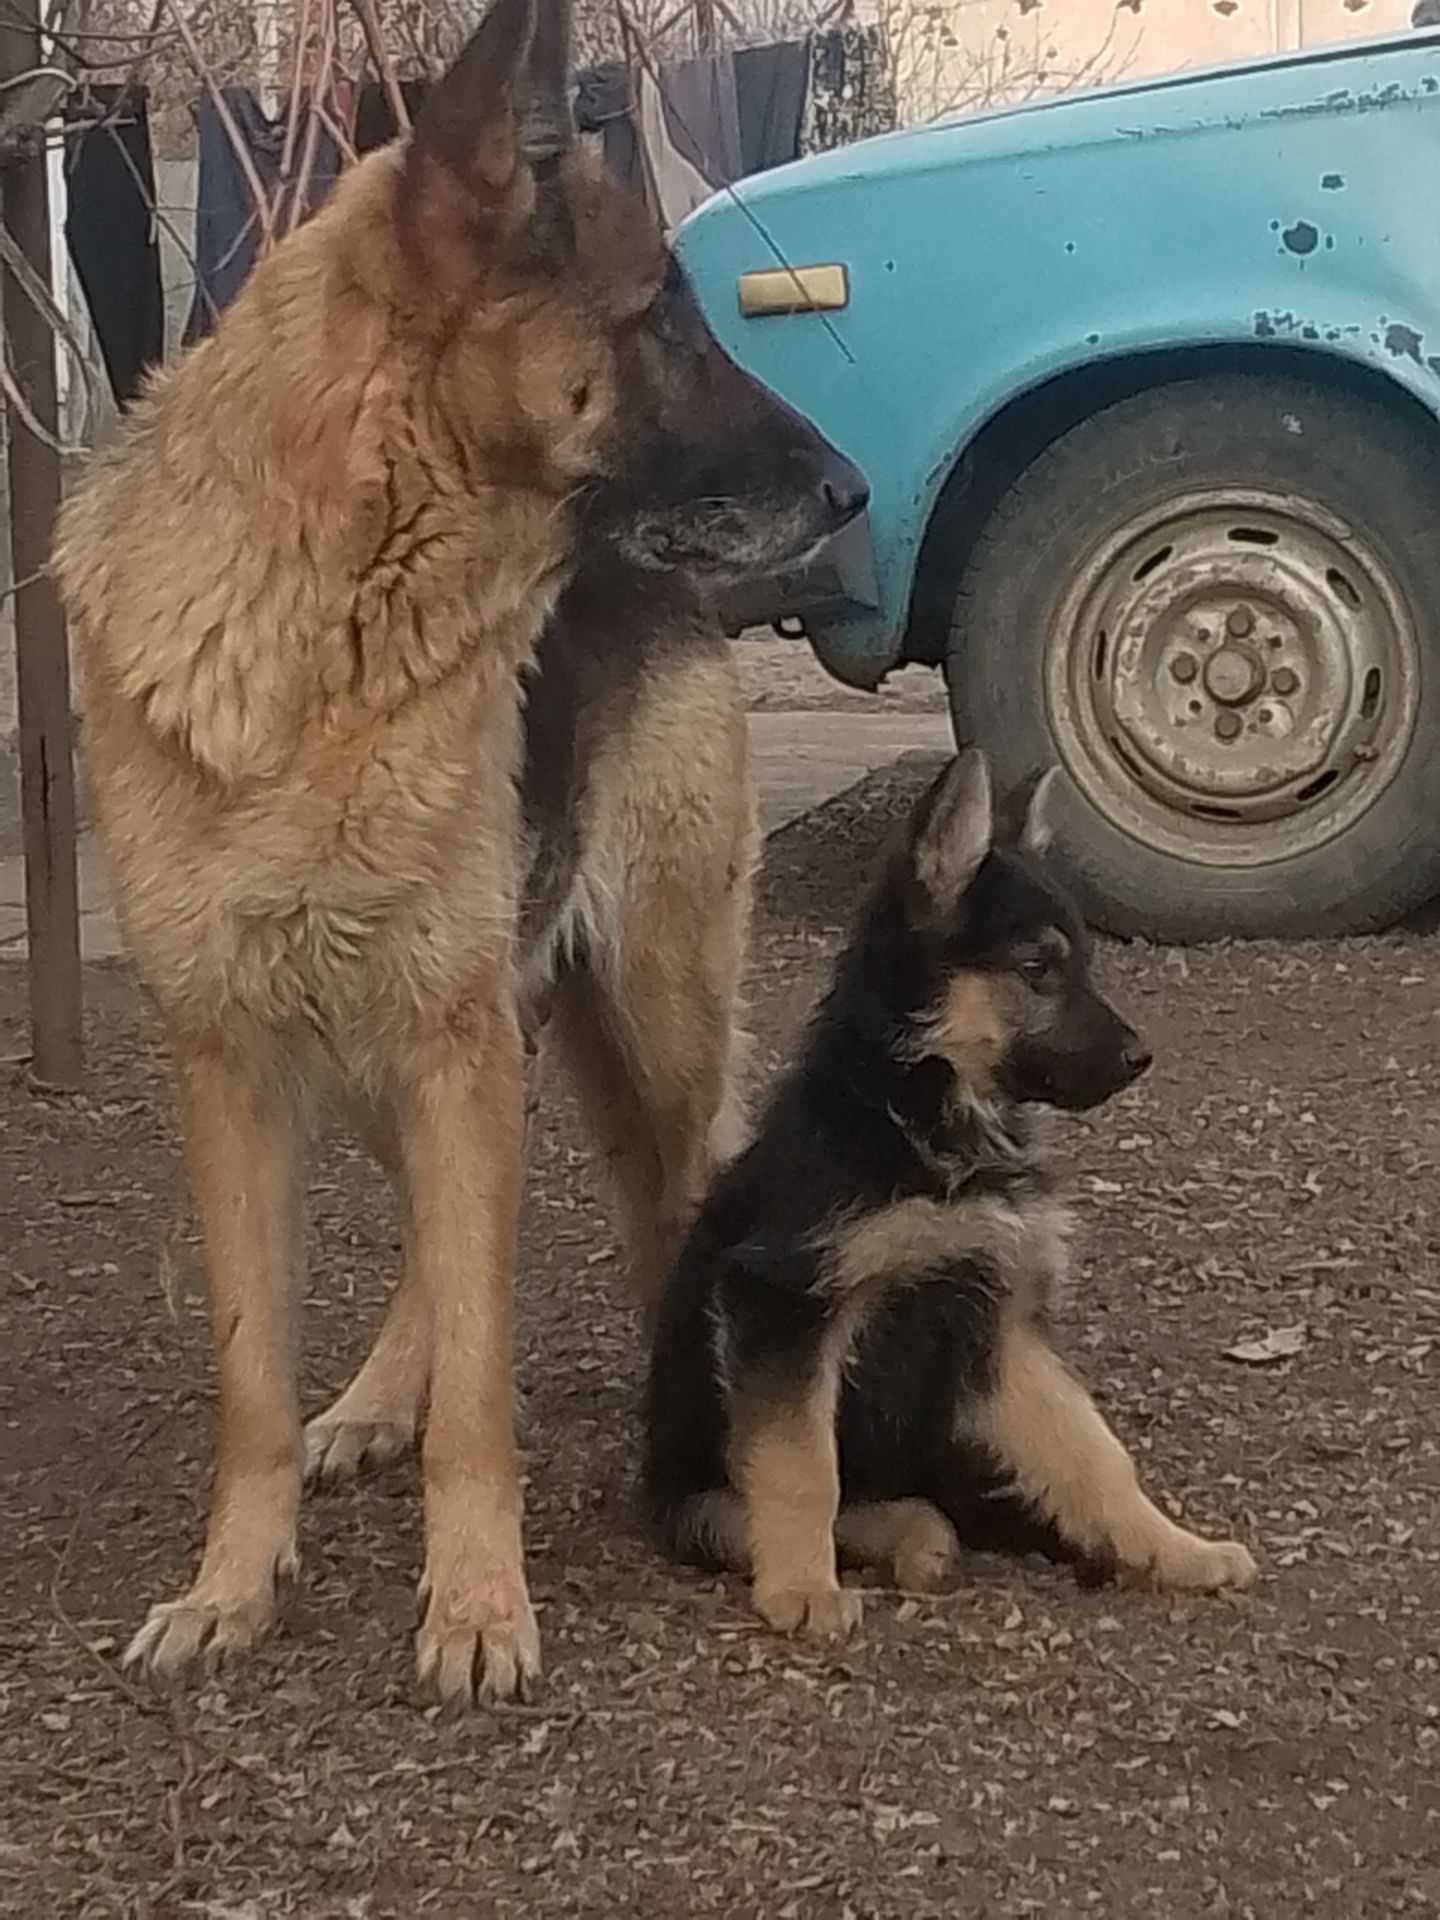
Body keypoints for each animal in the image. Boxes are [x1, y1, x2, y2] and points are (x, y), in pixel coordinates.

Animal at [53, 0, 867, 1712]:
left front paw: (480, 1603)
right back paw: (372, 1397)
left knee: (674, 1205)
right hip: (399, 1047)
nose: (852, 492)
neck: (328, 636)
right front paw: (235, 1583)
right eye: (661, 322)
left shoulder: (453, 1039)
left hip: (640, 1020)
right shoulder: (237, 1066)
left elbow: (488, 1385)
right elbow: (253, 1369)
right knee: (442, 1248)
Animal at [648, 748, 1259, 1635]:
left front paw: (1171, 1547)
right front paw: (801, 1588)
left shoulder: (999, 1324)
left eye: (1084, 964)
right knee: (779, 1505)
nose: (1139, 1058)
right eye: (1037, 968)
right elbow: (802, 1463)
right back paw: (906, 1533)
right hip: (698, 1494)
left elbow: (1094, 1452)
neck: (928, 1132)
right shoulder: (785, 1304)